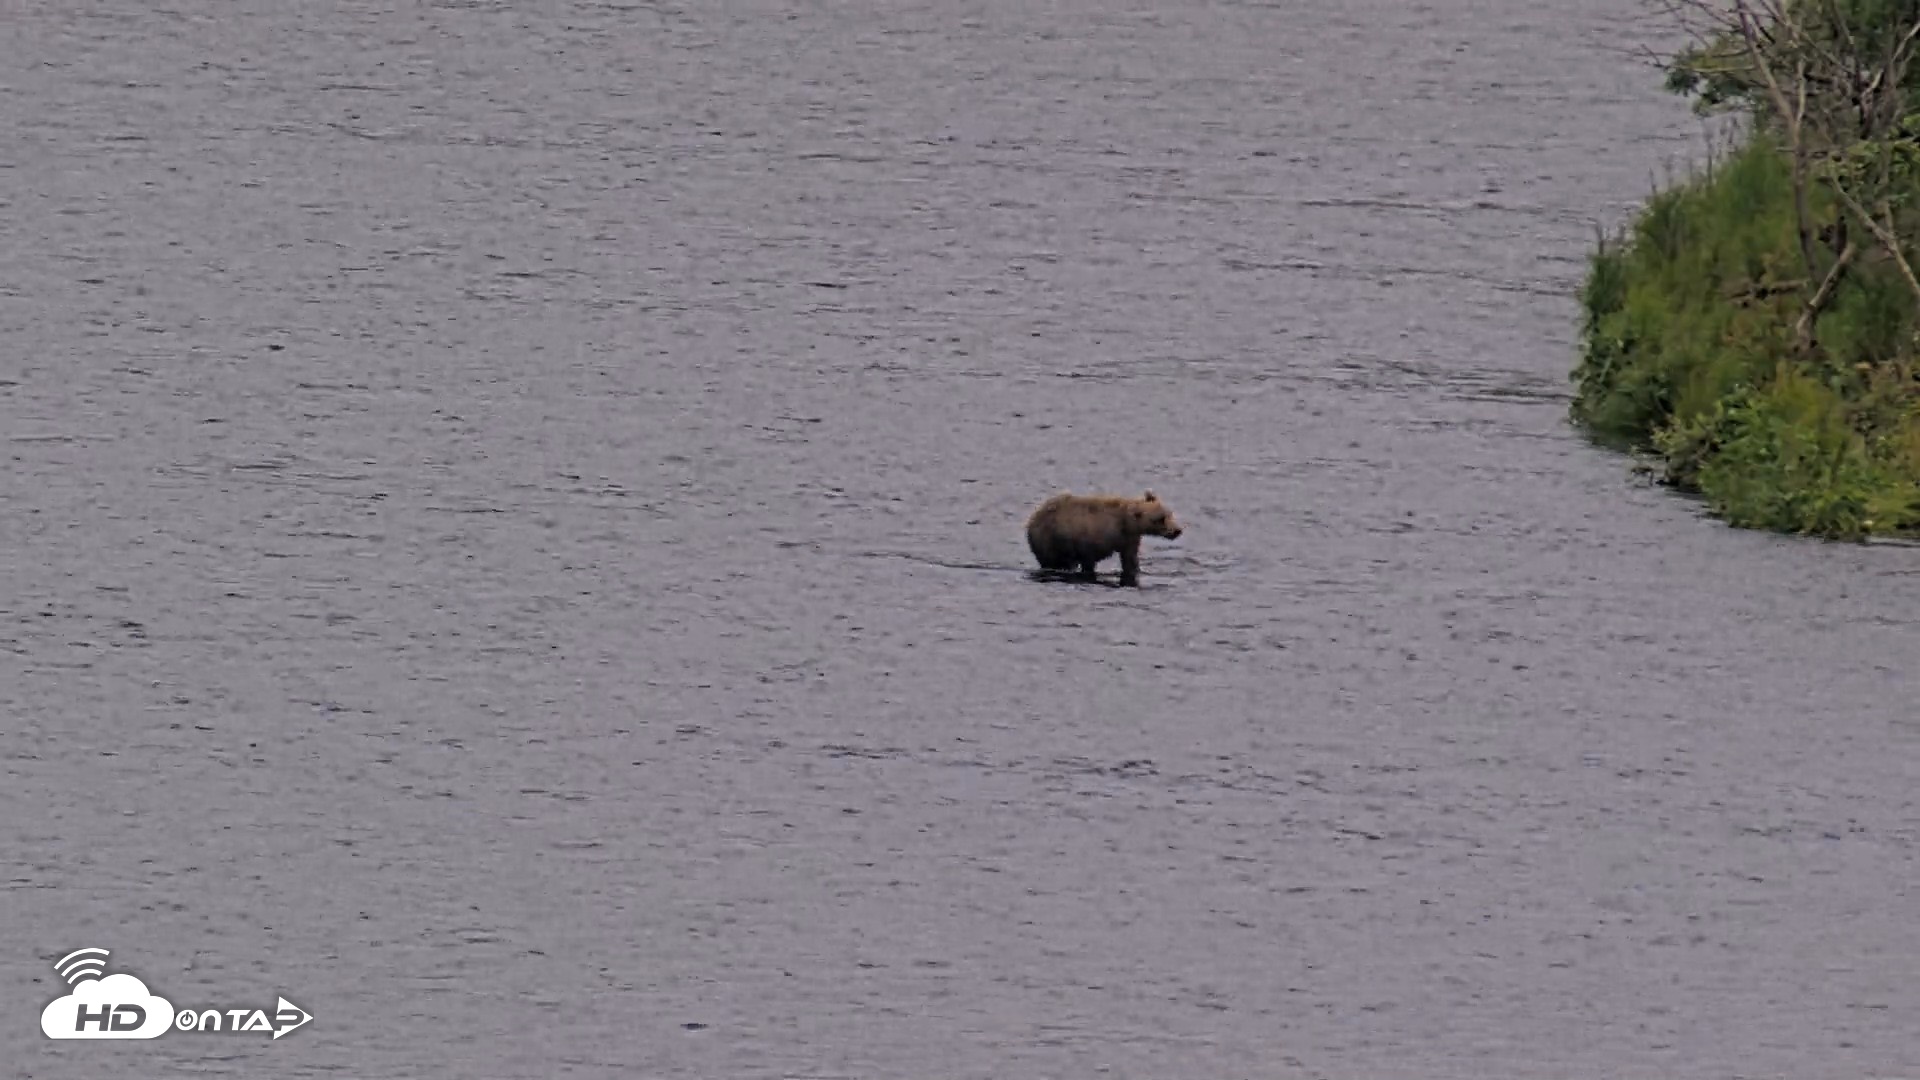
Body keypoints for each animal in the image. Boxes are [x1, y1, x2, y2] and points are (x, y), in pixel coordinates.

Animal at [1025, 490, 1183, 586]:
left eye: (1169, 514)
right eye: (1160, 519)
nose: (1177, 530)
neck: (1125, 524)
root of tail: (1032, 518)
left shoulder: (1129, 539)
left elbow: (1130, 559)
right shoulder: (1092, 537)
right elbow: (1089, 560)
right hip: (1050, 540)